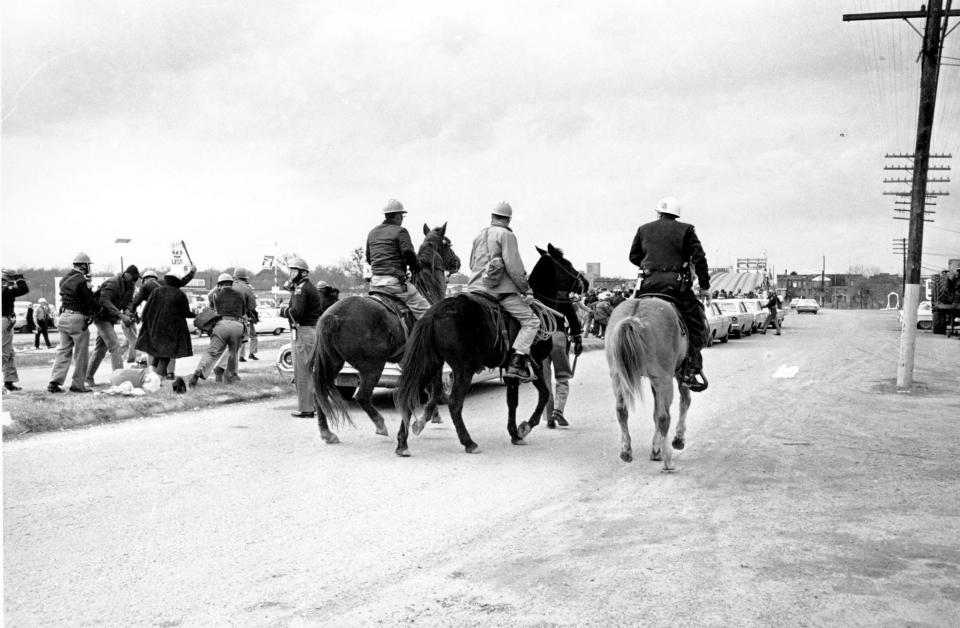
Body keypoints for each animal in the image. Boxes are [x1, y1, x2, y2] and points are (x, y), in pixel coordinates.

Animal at [308, 223, 458, 444]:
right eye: (447, 243)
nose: (457, 262)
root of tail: (332, 316)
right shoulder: (434, 359)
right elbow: (435, 388)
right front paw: (422, 420)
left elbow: (420, 387)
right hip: (372, 366)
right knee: (362, 396)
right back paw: (380, 424)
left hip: (332, 362)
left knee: (320, 393)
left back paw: (327, 432)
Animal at [392, 247, 584, 456]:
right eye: (566, 264)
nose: (585, 283)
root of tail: (433, 312)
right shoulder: (536, 364)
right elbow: (544, 394)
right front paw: (524, 427)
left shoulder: (512, 370)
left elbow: (513, 401)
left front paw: (515, 433)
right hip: (463, 369)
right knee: (454, 403)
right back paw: (468, 442)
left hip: (430, 364)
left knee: (409, 396)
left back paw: (403, 442)